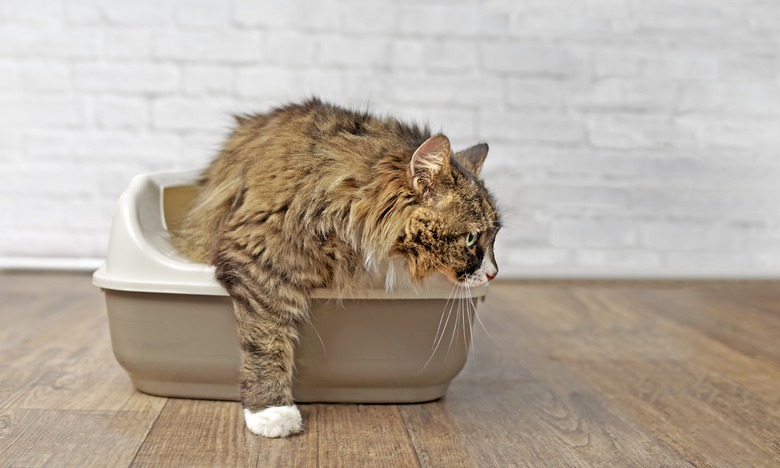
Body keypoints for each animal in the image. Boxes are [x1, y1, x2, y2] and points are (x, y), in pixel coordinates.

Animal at [171, 98, 500, 438]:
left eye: (495, 237)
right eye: (471, 238)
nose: (493, 272)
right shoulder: (260, 259)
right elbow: (267, 342)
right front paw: (271, 411)